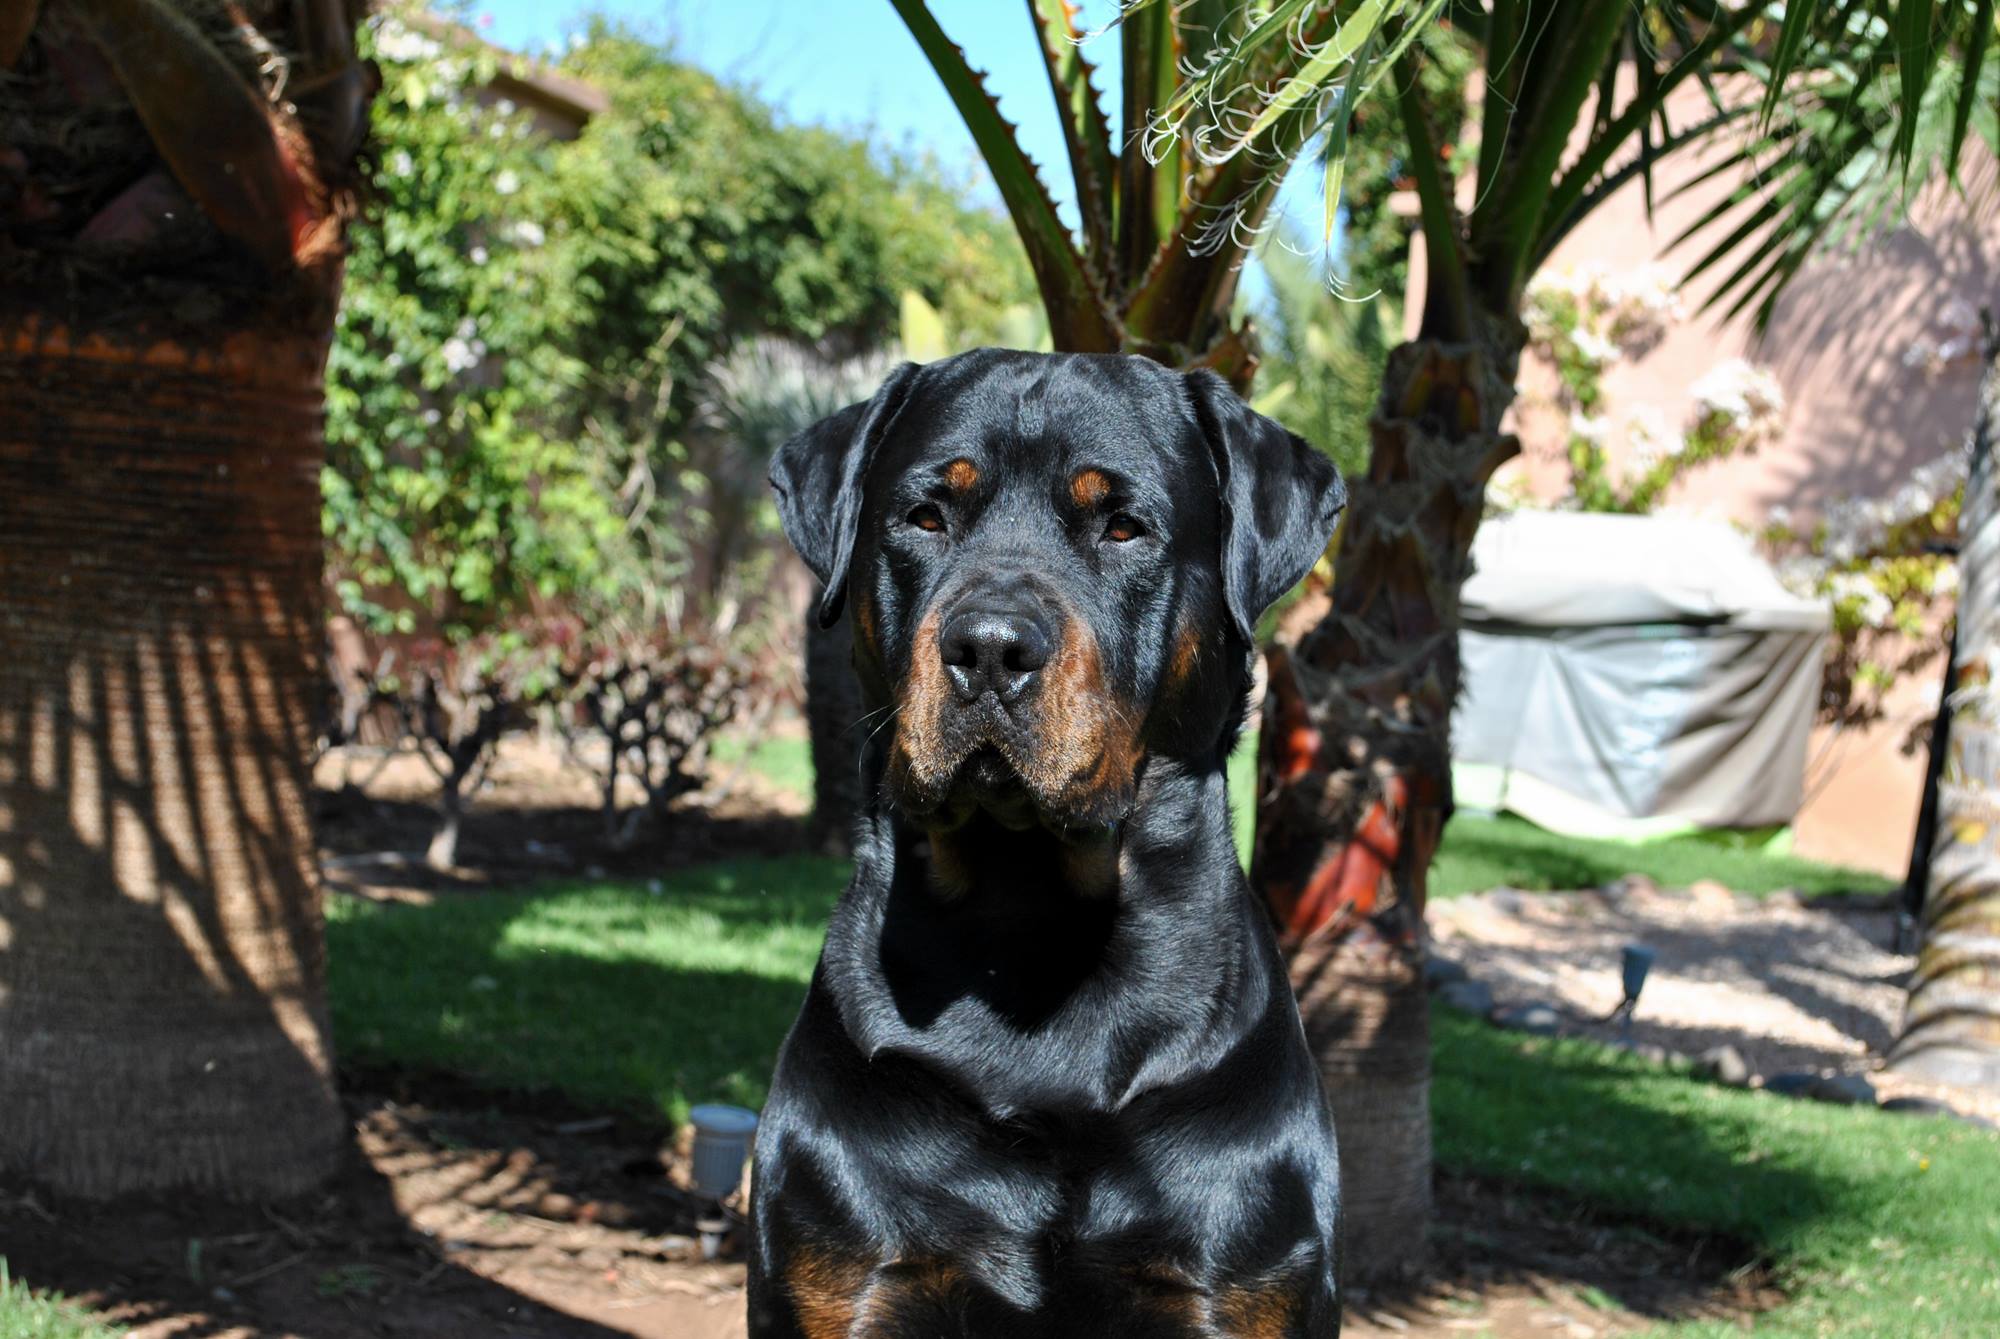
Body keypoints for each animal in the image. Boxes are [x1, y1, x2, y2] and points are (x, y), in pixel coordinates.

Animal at [748, 353, 1344, 1339]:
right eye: (925, 516)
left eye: (1123, 526)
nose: (989, 646)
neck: (1027, 922)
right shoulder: (847, 1274)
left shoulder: (1239, 1281)